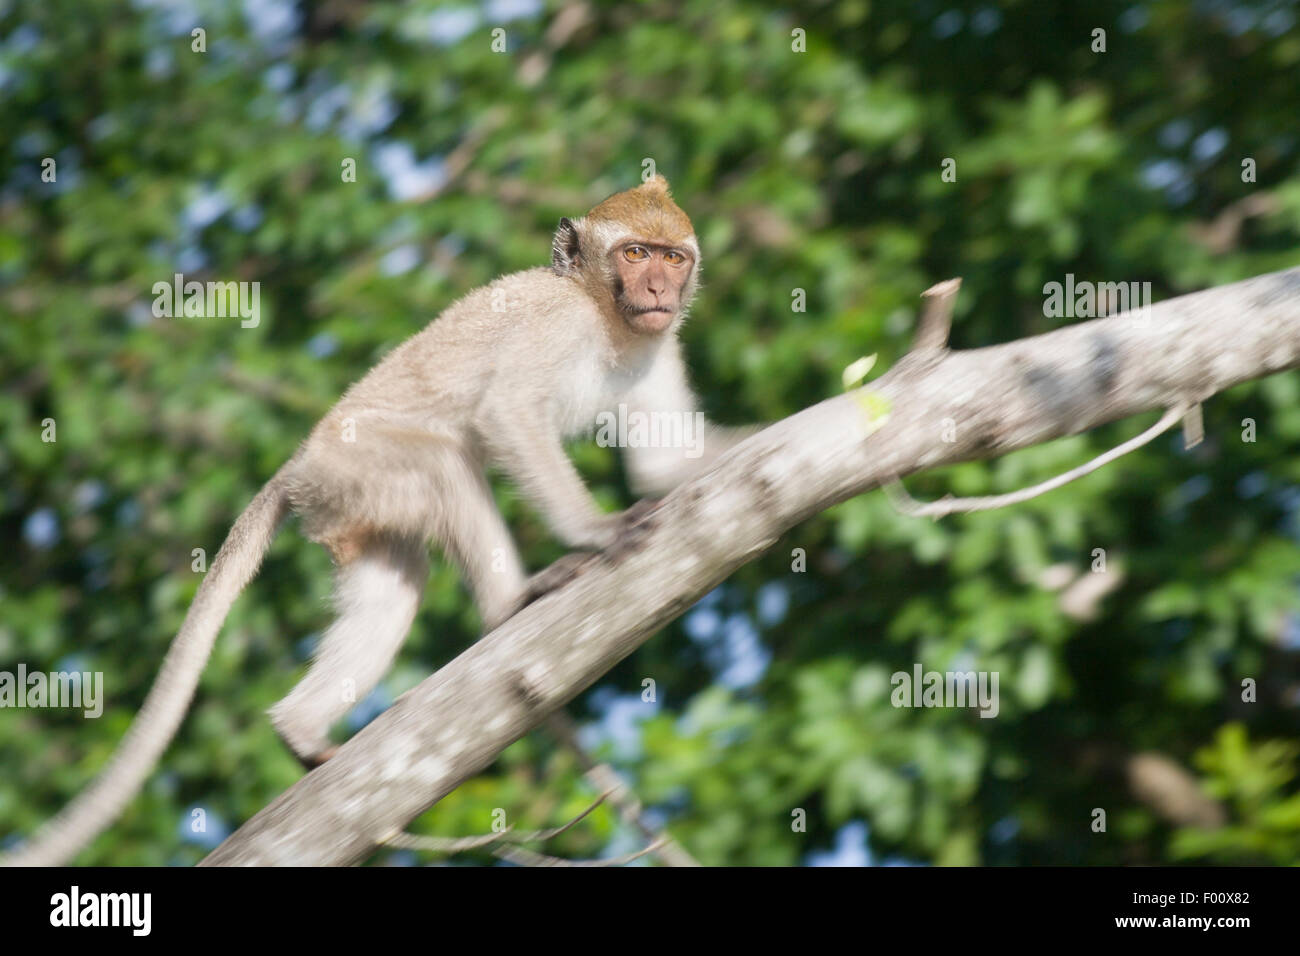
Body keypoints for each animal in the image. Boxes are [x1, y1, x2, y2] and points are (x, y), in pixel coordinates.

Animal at [5, 174, 759, 868]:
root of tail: (299, 462)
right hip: (356, 465)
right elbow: (508, 415)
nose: (659, 288)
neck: (604, 315)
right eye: (634, 253)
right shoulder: (555, 325)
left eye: (673, 256)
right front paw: (597, 532)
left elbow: (665, 465)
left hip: (347, 505)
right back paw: (512, 602)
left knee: (395, 580)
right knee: (446, 468)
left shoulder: (656, 345)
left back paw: (300, 728)